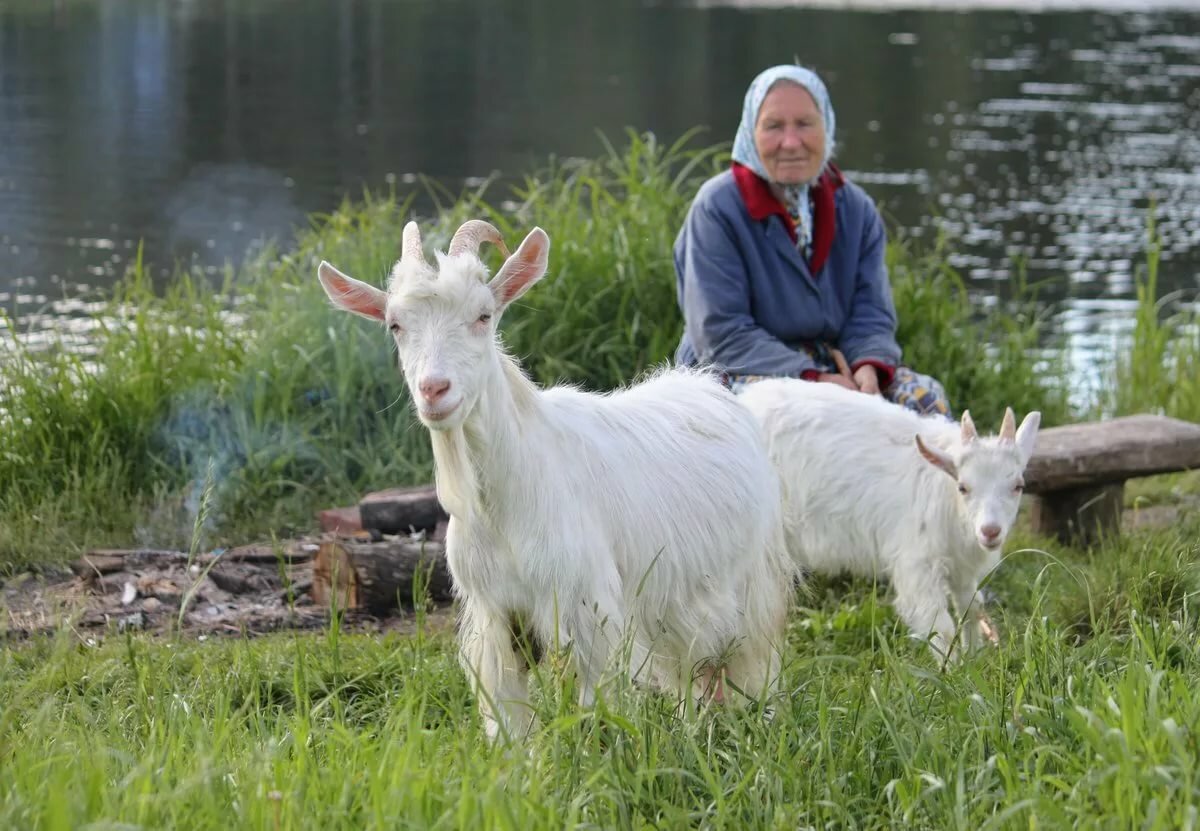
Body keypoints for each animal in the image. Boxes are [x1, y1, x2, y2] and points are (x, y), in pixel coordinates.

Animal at [317, 220, 792, 739]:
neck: (505, 501)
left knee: (754, 658)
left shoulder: (587, 611)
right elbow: (509, 721)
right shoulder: (497, 617)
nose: (434, 390)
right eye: (395, 325)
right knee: (693, 672)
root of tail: (707, 385)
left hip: (752, 580)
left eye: (484, 316)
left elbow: (592, 714)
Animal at [738, 378, 1039, 661]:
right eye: (963, 487)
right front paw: (950, 672)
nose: (990, 531)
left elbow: (972, 608)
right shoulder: (917, 563)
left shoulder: (962, 566)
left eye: (1018, 486)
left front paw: (974, 659)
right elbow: (939, 625)